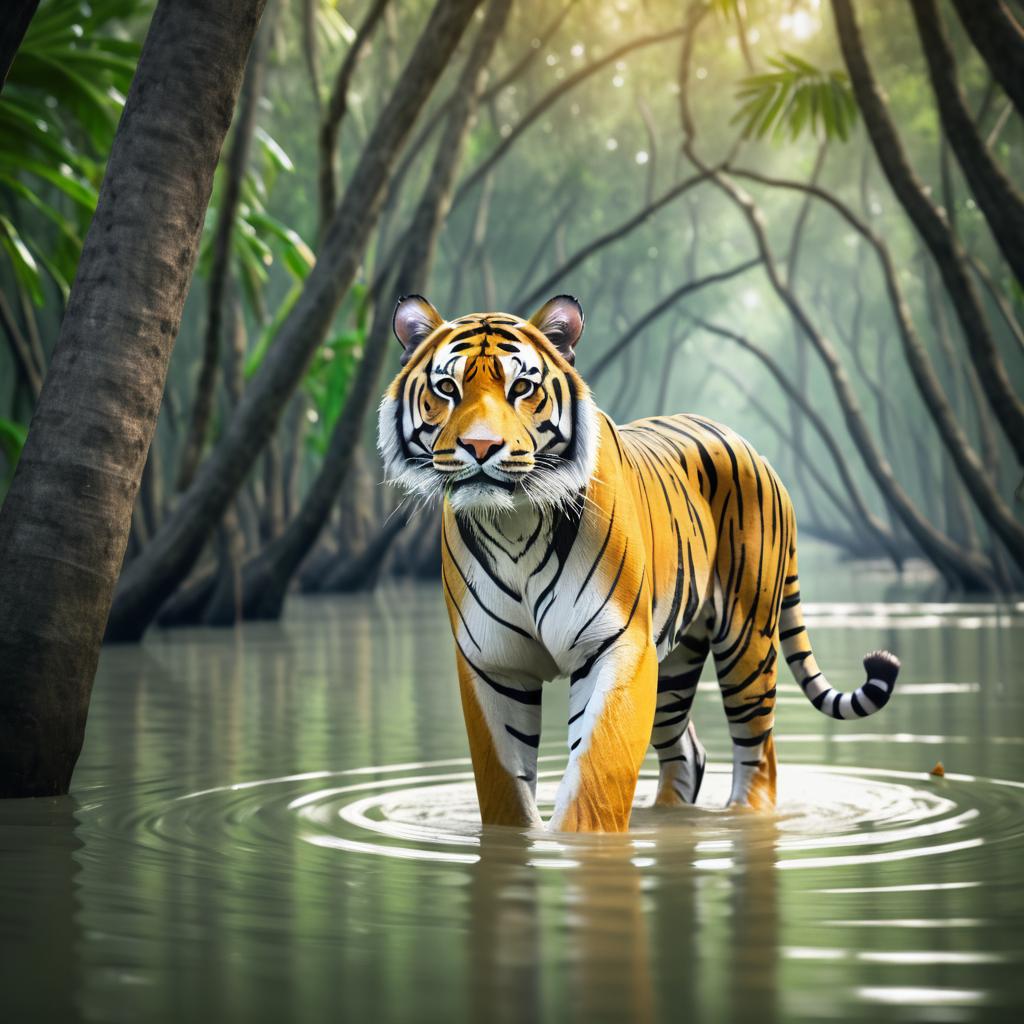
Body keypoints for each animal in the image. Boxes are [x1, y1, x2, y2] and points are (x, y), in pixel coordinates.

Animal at [376, 294, 897, 831]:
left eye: (521, 388)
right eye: (447, 388)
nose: (481, 447)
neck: (514, 522)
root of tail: (754, 449)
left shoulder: (616, 646)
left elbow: (597, 772)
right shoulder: (492, 662)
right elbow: (504, 786)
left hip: (746, 641)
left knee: (759, 757)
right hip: (675, 657)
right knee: (687, 752)